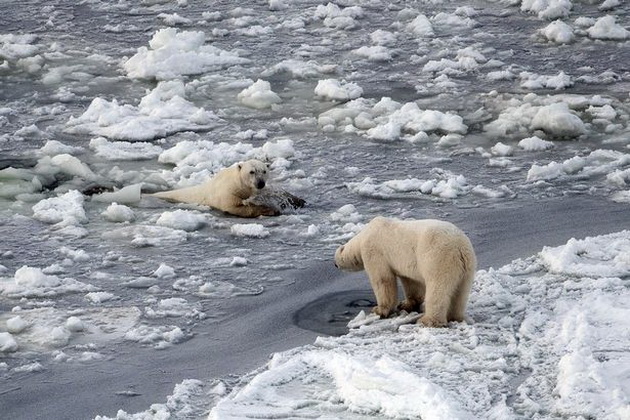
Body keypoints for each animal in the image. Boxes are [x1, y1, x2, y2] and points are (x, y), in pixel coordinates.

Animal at [151, 159, 304, 218]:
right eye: (252, 171)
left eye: (264, 171)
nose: (260, 183)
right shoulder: (227, 193)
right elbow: (235, 207)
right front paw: (271, 210)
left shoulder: (258, 191)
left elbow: (273, 192)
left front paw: (298, 200)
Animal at [336, 217, 478, 328]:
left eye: (336, 257)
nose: (335, 264)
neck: (364, 236)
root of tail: (459, 248)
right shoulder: (407, 263)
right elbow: (411, 281)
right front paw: (406, 304)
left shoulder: (374, 251)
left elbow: (383, 280)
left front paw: (379, 310)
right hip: (467, 268)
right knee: (460, 292)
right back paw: (454, 317)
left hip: (438, 259)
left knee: (437, 290)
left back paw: (428, 320)